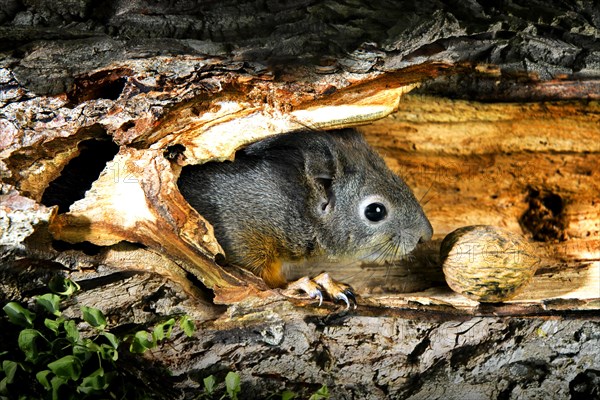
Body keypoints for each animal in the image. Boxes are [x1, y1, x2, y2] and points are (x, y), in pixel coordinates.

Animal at [177, 128, 432, 306]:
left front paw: (328, 283)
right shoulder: (241, 236)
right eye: (375, 211)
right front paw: (304, 284)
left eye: (399, 180)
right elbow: (265, 283)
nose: (426, 235)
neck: (297, 208)